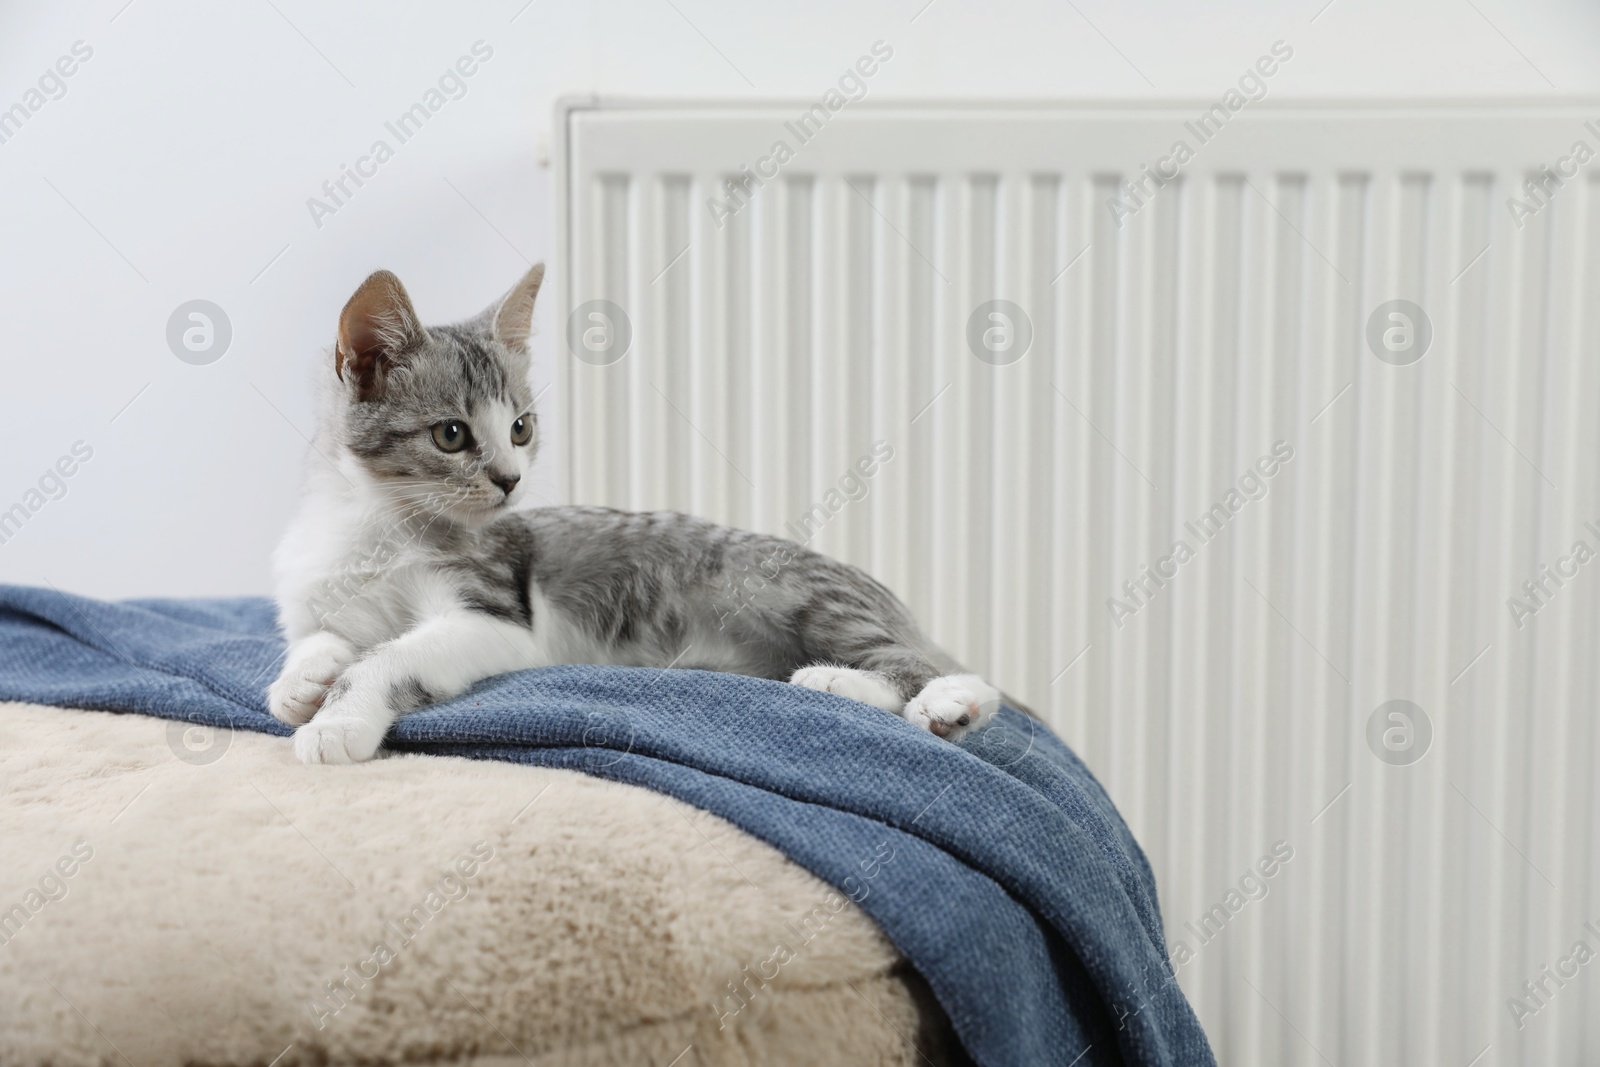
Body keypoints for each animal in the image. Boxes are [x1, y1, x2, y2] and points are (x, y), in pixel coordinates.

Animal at [272, 267, 998, 767]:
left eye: (520, 428)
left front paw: (337, 719)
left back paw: (946, 702)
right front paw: (302, 681)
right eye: (451, 434)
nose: (510, 480)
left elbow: (392, 653)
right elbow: (318, 636)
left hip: (805, 595)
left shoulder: (496, 616)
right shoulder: (314, 593)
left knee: (921, 661)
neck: (373, 525)